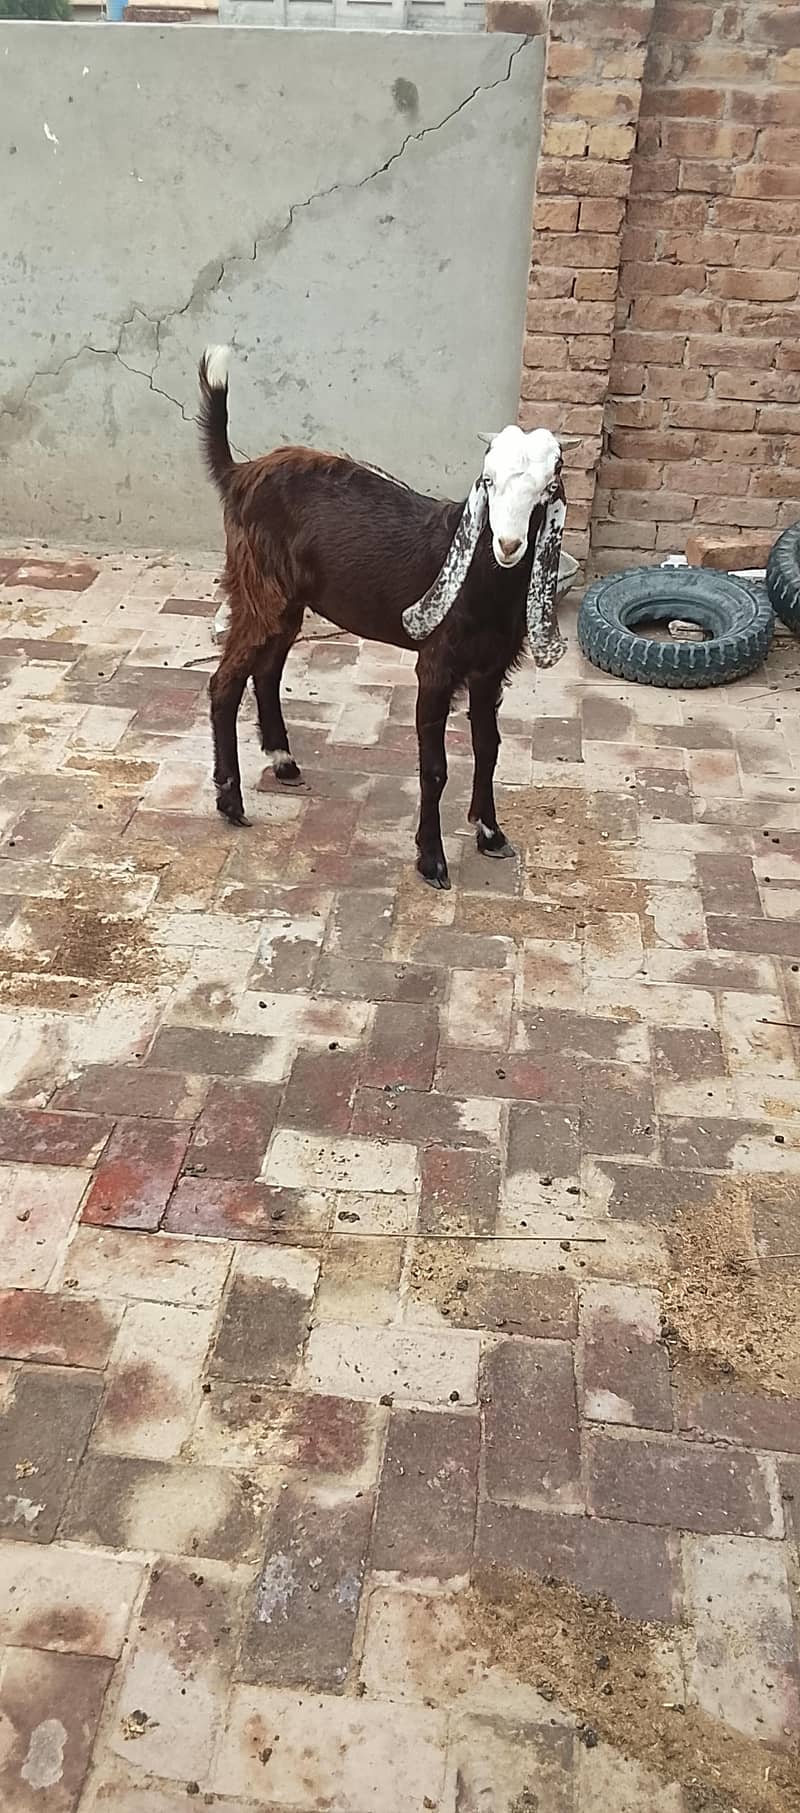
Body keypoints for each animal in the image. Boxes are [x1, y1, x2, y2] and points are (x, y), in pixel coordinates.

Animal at [200, 345, 569, 890]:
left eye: (548, 487)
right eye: (489, 481)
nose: (508, 544)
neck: (481, 580)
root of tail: (239, 474)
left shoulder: (491, 666)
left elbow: (489, 747)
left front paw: (490, 833)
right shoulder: (436, 663)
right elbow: (435, 767)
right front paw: (431, 860)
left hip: (288, 600)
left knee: (266, 669)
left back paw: (283, 761)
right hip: (258, 587)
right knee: (225, 681)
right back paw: (230, 801)